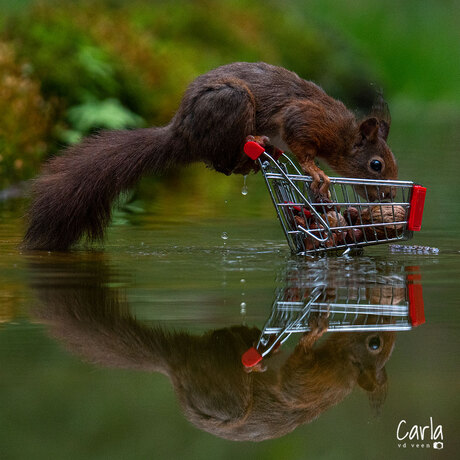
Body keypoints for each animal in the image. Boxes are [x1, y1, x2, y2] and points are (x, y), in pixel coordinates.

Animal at [23, 61, 398, 250]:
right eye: (376, 165)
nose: (390, 197)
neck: (343, 136)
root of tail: (181, 132)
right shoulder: (305, 120)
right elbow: (301, 143)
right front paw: (315, 172)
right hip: (234, 102)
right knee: (222, 163)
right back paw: (255, 144)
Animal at [30, 258, 396, 442]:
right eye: (375, 343)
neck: (344, 372)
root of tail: (175, 374)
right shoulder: (309, 387)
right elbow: (295, 376)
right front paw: (314, 329)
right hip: (226, 392)